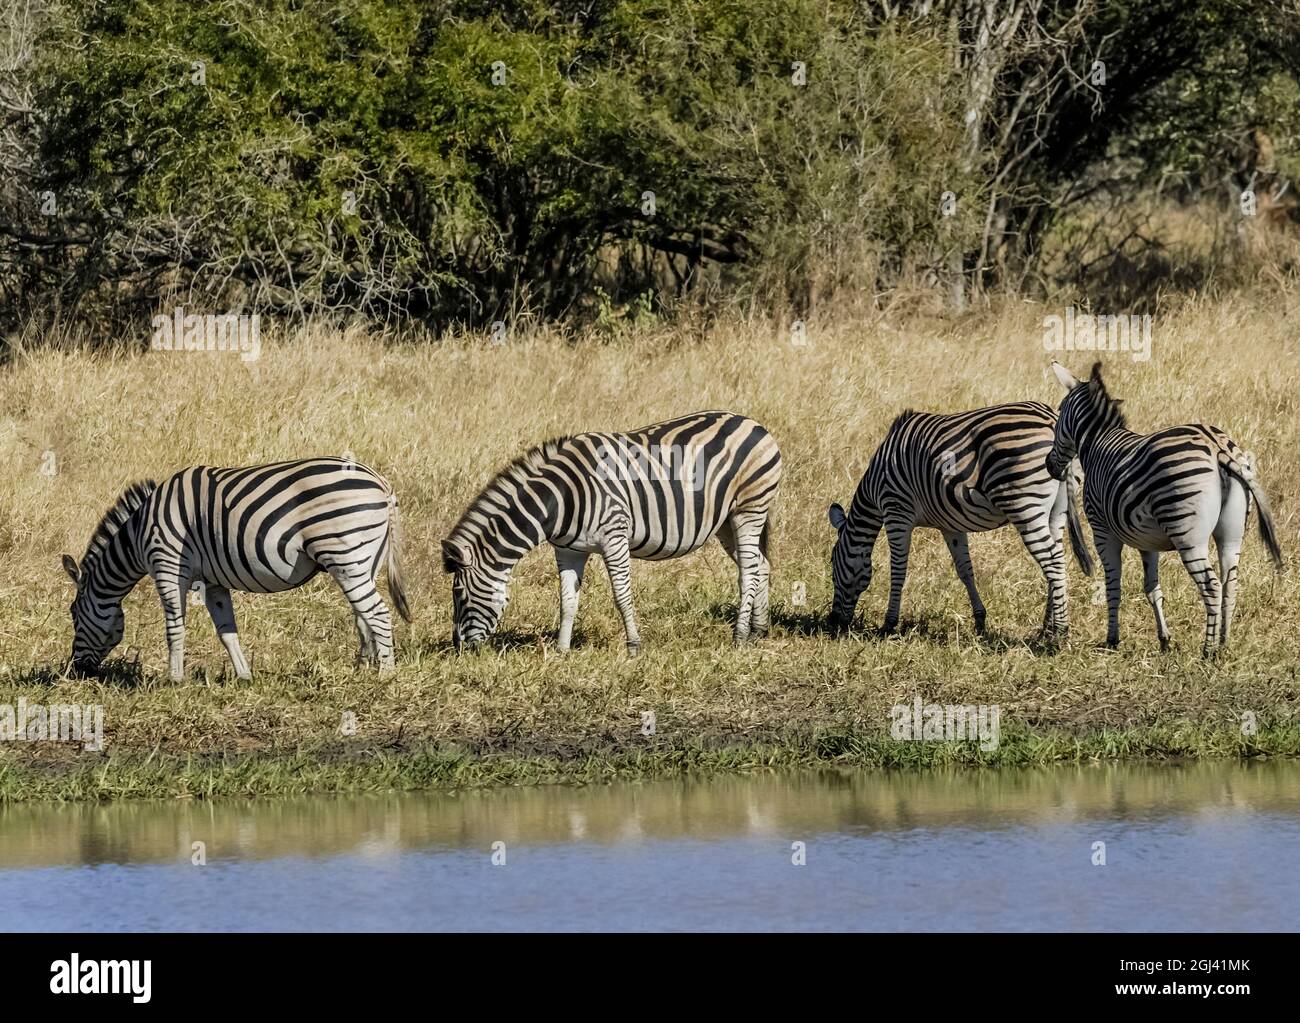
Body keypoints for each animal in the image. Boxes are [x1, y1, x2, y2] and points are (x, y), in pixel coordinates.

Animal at [62, 460, 410, 686]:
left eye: (74, 614)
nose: (76, 671)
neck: (137, 535)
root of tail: (381, 483)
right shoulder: (213, 582)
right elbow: (227, 631)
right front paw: (244, 676)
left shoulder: (167, 565)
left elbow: (174, 628)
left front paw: (174, 680)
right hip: (365, 560)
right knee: (363, 615)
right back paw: (362, 670)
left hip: (343, 552)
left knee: (377, 612)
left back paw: (386, 675)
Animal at [441, 405, 780, 647]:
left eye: (459, 593)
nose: (459, 648)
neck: (560, 499)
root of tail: (752, 422)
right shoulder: (568, 550)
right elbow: (567, 601)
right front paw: (562, 650)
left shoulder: (614, 537)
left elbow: (621, 594)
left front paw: (633, 645)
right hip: (725, 521)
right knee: (760, 564)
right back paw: (759, 631)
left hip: (749, 508)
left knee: (748, 572)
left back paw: (739, 637)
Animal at [826, 402, 1092, 636]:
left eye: (833, 564)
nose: (833, 622)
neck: (875, 484)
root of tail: (1051, 419)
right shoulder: (950, 524)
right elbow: (965, 571)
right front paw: (980, 622)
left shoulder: (896, 512)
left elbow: (898, 571)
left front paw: (889, 624)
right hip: (1057, 510)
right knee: (1057, 561)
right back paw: (1046, 628)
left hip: (1024, 504)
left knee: (1053, 562)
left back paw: (1060, 633)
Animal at [1045, 363, 1279, 660]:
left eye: (1059, 414)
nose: (1049, 465)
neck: (1097, 442)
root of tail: (1218, 447)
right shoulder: (1147, 541)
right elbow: (1152, 588)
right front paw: (1164, 640)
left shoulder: (1102, 531)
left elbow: (1113, 585)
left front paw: (1112, 639)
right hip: (1232, 532)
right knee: (1230, 583)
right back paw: (1224, 644)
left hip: (1187, 533)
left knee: (1212, 585)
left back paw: (1208, 650)